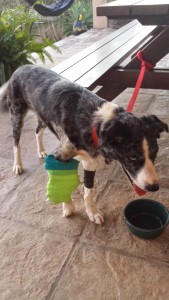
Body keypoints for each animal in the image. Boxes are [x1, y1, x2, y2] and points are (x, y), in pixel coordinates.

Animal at [0, 65, 168, 225]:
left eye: (155, 152)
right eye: (132, 156)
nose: (154, 187)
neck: (95, 123)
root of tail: (21, 68)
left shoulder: (90, 162)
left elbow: (88, 190)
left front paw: (92, 213)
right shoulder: (60, 155)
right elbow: (62, 184)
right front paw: (68, 206)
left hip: (42, 116)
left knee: (37, 131)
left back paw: (41, 151)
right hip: (17, 114)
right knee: (16, 143)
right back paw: (17, 165)